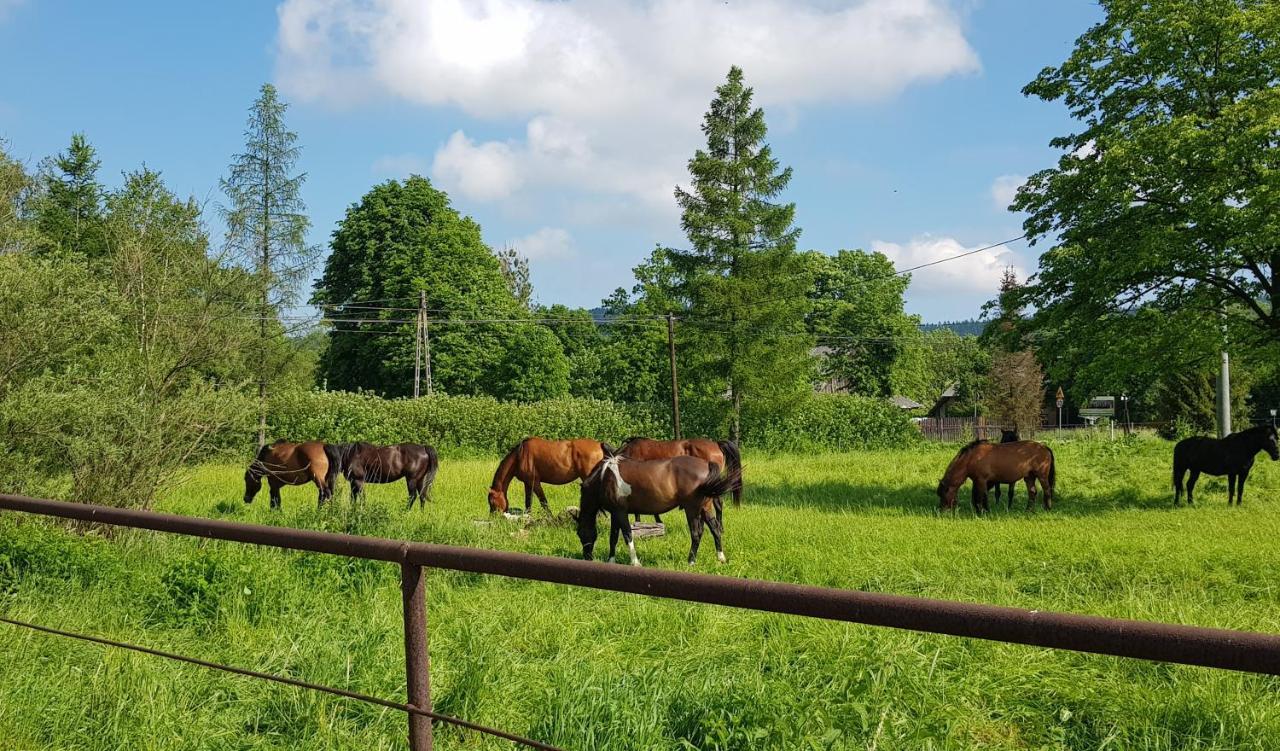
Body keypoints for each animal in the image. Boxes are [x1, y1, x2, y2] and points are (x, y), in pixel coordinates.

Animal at [581, 450, 742, 568]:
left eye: (579, 533)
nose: (587, 557)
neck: (605, 477)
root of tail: (707, 464)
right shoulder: (615, 513)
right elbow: (613, 537)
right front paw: (611, 561)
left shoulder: (621, 512)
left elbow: (627, 535)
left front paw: (635, 562)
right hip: (705, 508)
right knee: (715, 529)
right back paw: (721, 558)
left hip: (692, 509)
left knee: (697, 533)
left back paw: (691, 561)